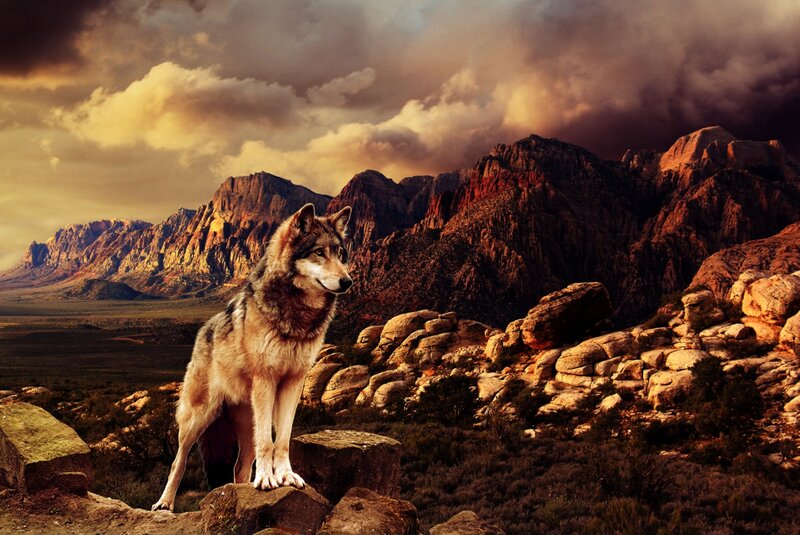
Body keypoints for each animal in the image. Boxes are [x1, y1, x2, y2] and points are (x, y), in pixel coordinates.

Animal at [152, 203, 352, 511]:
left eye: (341, 254)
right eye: (319, 252)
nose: (347, 281)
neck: (297, 316)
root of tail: (203, 330)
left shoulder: (294, 382)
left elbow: (282, 439)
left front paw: (285, 476)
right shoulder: (266, 379)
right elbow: (267, 443)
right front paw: (267, 479)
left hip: (247, 423)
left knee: (239, 467)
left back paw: (241, 489)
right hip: (199, 417)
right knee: (179, 460)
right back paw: (164, 504)